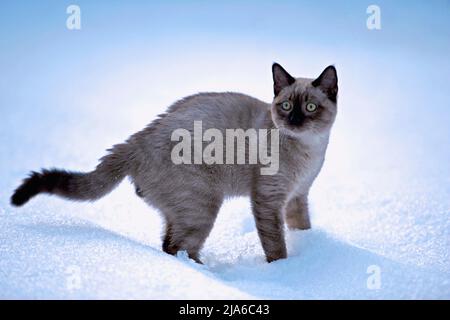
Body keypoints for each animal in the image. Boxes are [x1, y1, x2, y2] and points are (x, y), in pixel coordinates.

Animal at [11, 63, 338, 264]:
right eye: (286, 106)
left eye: (310, 107)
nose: (294, 120)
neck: (309, 149)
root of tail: (138, 139)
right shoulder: (269, 200)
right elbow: (276, 245)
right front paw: (283, 271)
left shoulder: (298, 196)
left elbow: (301, 227)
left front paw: (309, 248)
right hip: (203, 205)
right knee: (177, 248)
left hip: (186, 209)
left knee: (168, 244)